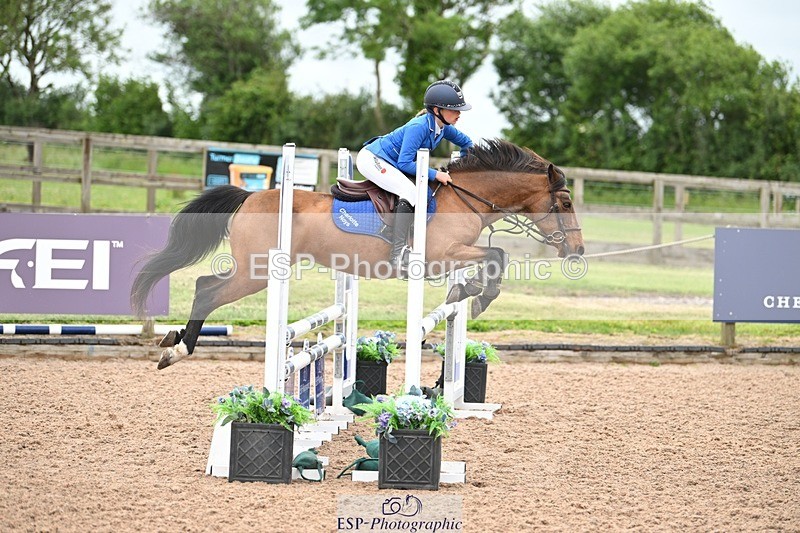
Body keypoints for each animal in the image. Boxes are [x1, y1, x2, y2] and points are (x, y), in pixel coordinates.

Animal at [131, 139, 584, 369]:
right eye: (564, 203)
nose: (578, 249)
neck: (465, 198)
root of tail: (250, 195)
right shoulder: (440, 256)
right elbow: (496, 257)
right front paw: (477, 296)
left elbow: (495, 257)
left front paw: (466, 295)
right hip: (256, 273)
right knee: (207, 289)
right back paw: (176, 350)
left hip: (253, 271)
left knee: (205, 284)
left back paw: (174, 342)